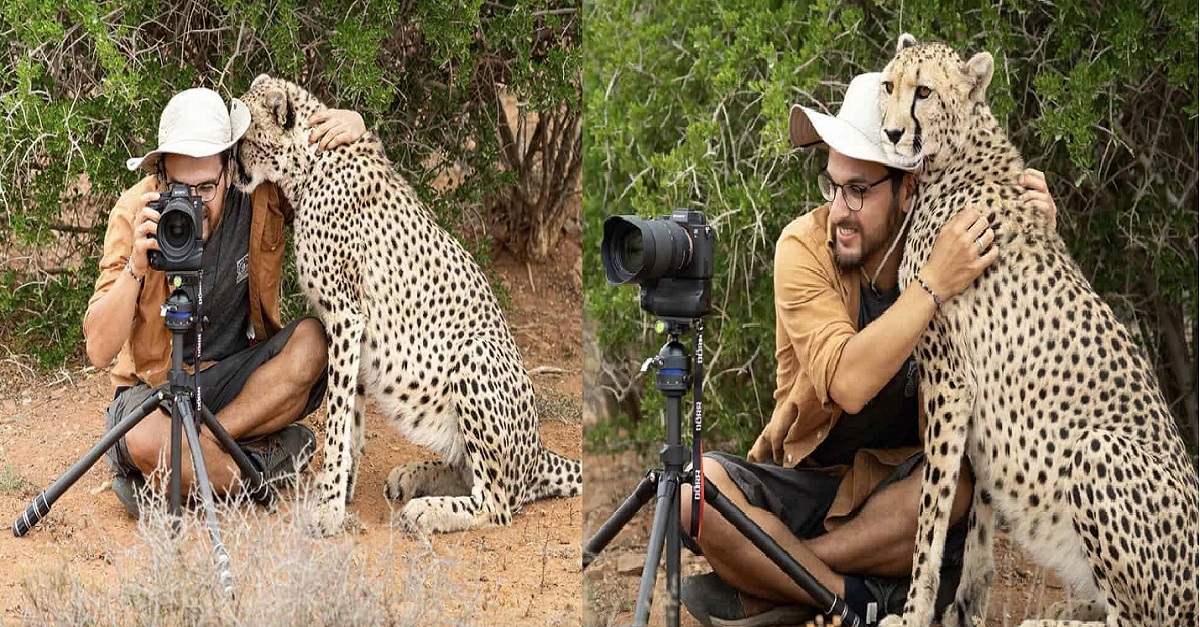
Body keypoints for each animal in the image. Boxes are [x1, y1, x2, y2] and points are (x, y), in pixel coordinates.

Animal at [232, 73, 580, 530]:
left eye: (244, 137)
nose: (230, 167)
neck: (309, 163)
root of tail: (539, 452)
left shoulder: (345, 315)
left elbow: (338, 419)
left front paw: (328, 508)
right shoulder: (354, 324)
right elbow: (353, 417)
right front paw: (341, 492)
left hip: (474, 353)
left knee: (497, 503)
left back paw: (429, 510)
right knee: (471, 473)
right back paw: (413, 477)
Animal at [873, 35, 1200, 624]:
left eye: (924, 92)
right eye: (889, 85)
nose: (890, 133)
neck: (956, 157)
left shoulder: (949, 379)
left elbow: (930, 518)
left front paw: (913, 612)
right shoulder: (977, 402)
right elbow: (978, 521)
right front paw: (966, 605)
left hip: (1096, 451)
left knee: (1139, 619)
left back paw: (1051, 618)